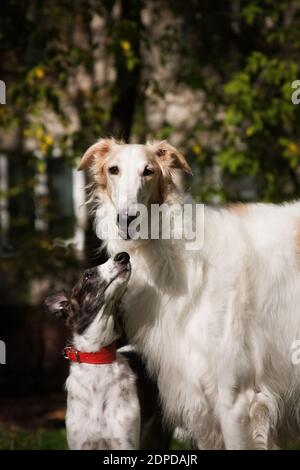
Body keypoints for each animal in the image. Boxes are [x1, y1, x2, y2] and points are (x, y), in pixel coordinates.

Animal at [78, 138, 300, 450]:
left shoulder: (237, 399)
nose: (127, 219)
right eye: (113, 169)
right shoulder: (201, 402)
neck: (183, 263)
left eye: (148, 171)